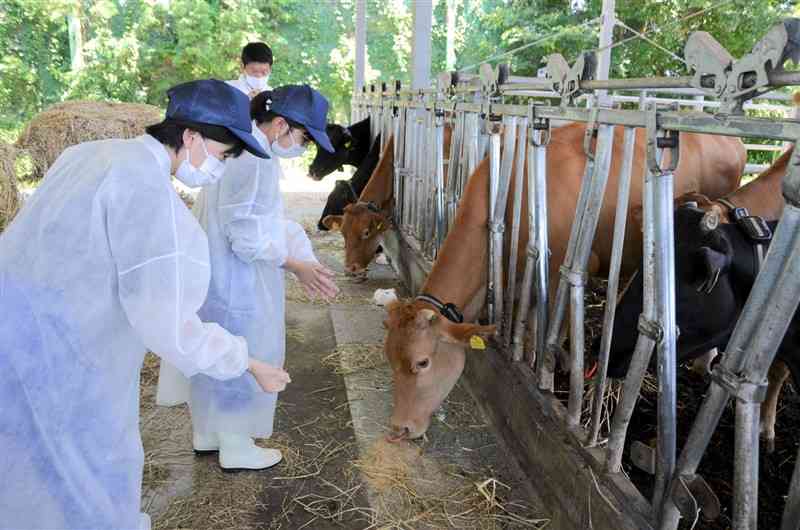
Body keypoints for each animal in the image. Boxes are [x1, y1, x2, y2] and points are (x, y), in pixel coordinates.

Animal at [382, 121, 744, 440]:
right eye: (388, 357)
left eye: (422, 362)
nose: (399, 428)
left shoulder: (560, 270)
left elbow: (546, 329)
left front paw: (553, 371)